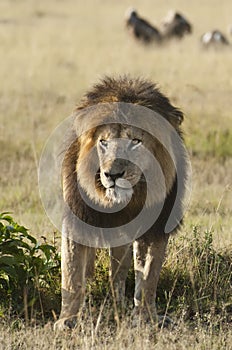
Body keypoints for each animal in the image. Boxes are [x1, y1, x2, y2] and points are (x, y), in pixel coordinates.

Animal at [54, 75, 188, 330]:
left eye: (135, 141)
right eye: (103, 142)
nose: (112, 175)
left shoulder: (156, 226)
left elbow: (149, 274)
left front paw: (147, 317)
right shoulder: (77, 218)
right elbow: (72, 272)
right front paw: (68, 320)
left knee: (119, 271)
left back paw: (122, 306)